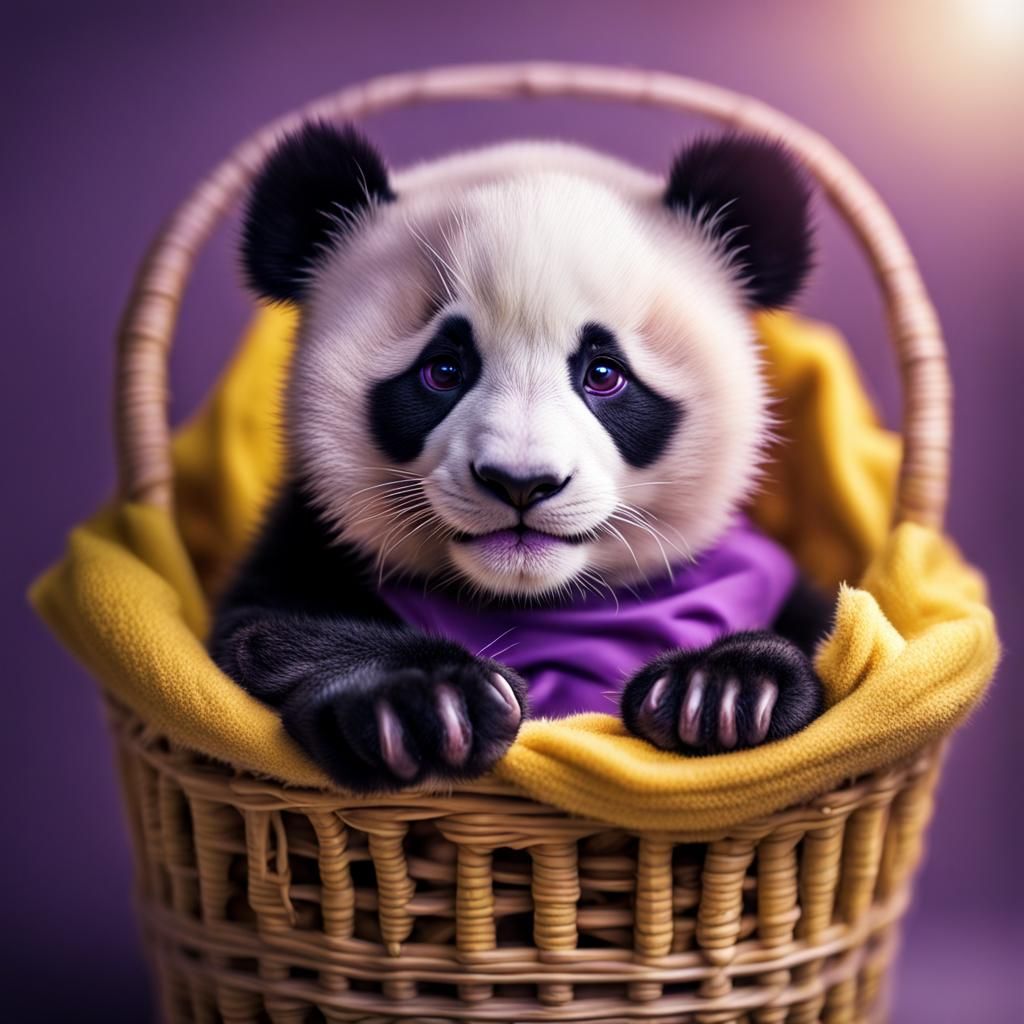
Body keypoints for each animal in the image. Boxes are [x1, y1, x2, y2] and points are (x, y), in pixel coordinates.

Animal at [210, 122, 830, 793]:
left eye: (604, 374)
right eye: (443, 370)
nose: (520, 484)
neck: (538, 608)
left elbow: (830, 631)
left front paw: (722, 691)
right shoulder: (307, 547)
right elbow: (260, 633)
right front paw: (425, 703)